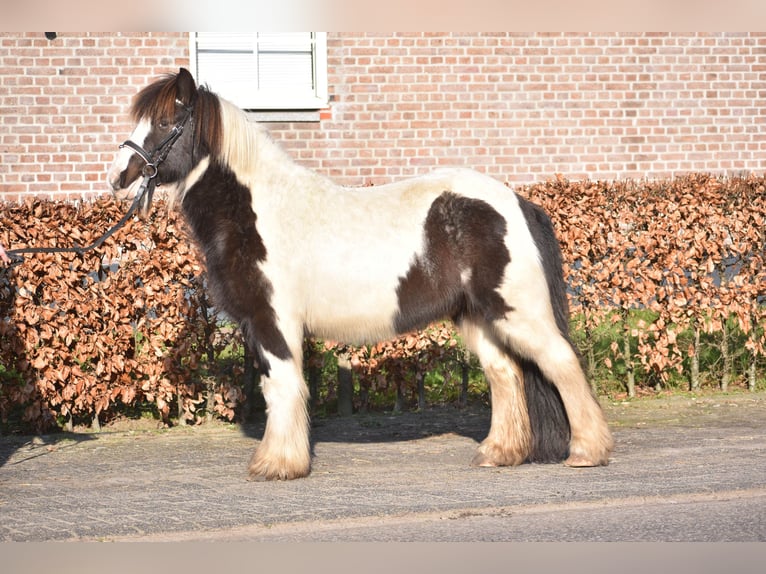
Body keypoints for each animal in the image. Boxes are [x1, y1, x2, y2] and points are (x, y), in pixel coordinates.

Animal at [108, 67, 616, 482]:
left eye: (166, 123)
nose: (119, 175)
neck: (257, 211)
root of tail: (517, 203)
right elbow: (279, 386)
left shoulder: (273, 321)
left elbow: (282, 385)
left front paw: (278, 464)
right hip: (478, 317)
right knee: (506, 374)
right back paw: (499, 454)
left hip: (518, 313)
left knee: (561, 363)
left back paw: (587, 452)